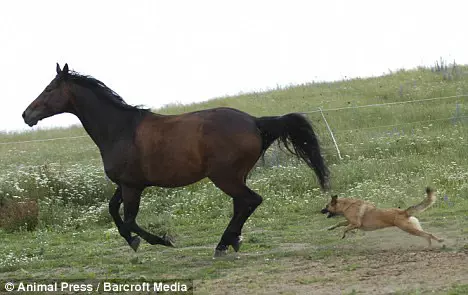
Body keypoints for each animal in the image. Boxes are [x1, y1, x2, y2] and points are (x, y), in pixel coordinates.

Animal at [22, 63, 330, 258]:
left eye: (49, 89)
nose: (26, 115)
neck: (120, 129)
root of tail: (255, 122)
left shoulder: (132, 187)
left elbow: (129, 219)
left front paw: (158, 241)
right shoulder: (127, 184)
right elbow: (113, 211)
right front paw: (134, 242)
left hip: (224, 177)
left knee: (251, 201)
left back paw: (222, 245)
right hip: (236, 176)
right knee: (242, 204)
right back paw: (231, 241)